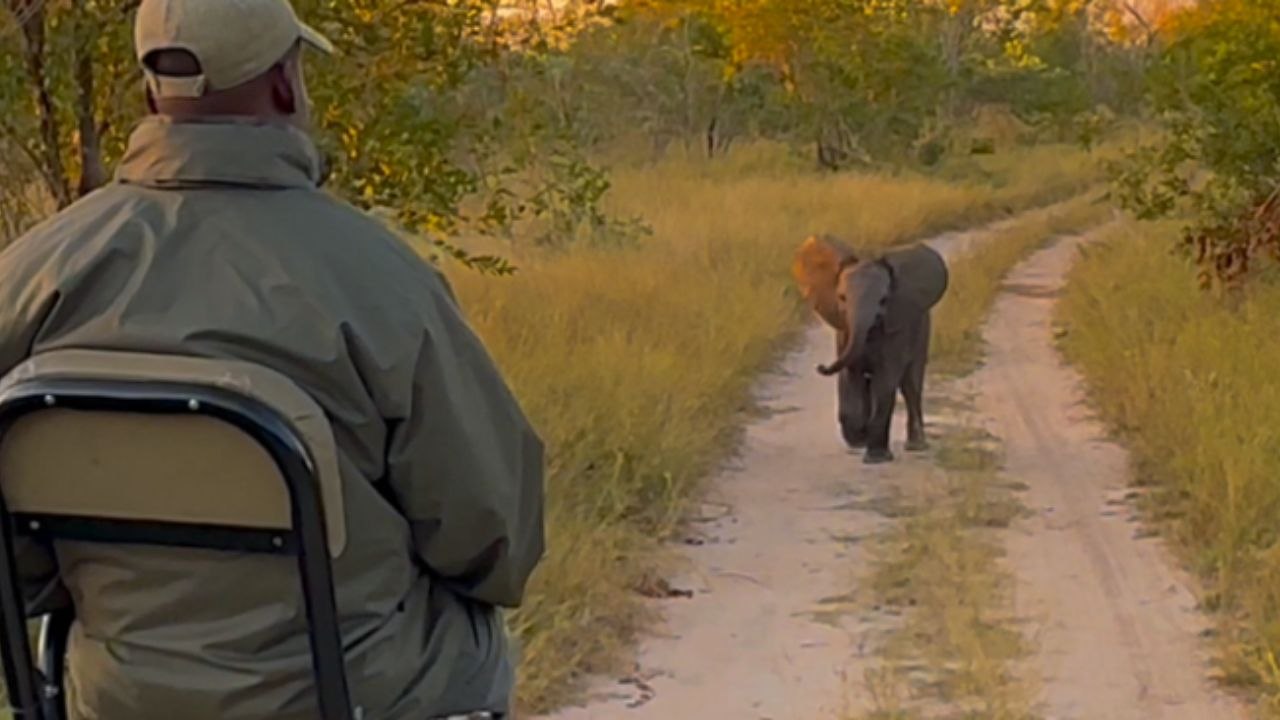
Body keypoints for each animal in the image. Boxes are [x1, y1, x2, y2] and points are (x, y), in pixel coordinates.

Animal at [791, 234, 949, 464]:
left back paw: (916, 445)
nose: (820, 366)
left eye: (883, 301)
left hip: (922, 330)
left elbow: (885, 382)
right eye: (842, 298)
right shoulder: (845, 332)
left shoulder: (895, 333)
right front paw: (858, 440)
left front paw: (876, 457)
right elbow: (851, 376)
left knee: (911, 385)